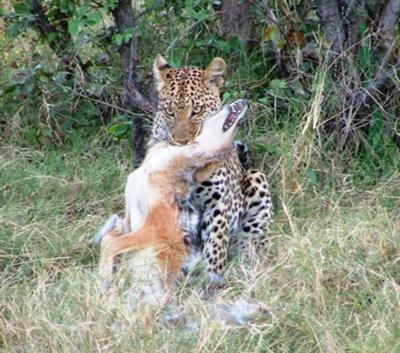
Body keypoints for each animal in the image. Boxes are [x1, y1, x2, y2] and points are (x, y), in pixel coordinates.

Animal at [148, 54, 274, 292]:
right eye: (169, 111)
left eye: (196, 111)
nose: (181, 142)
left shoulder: (217, 204)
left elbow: (215, 245)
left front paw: (213, 281)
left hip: (256, 180)